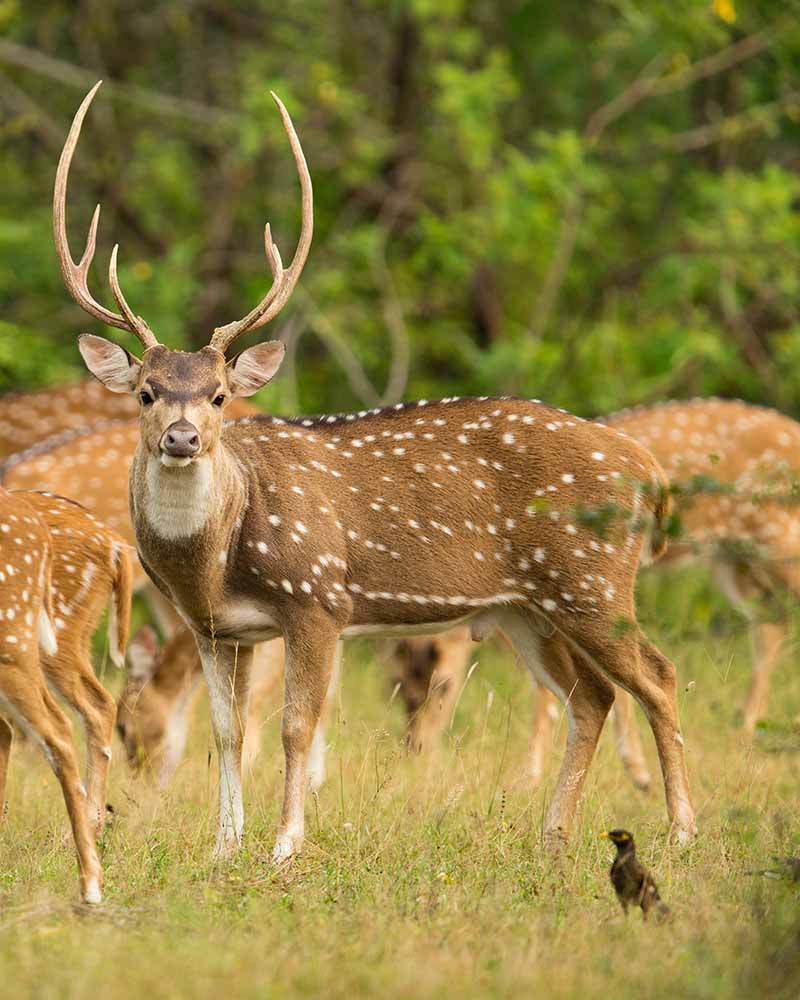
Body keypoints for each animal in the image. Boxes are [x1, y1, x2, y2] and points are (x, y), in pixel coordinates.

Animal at [56, 81, 696, 861]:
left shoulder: (317, 597)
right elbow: (225, 732)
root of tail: (648, 473)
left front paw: (285, 846)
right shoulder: (218, 628)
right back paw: (553, 835)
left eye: (220, 394)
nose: (182, 437)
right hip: (527, 608)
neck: (213, 560)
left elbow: (294, 727)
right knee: (592, 697)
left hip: (594, 583)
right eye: (146, 392)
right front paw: (223, 847)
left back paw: (681, 830)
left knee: (659, 678)